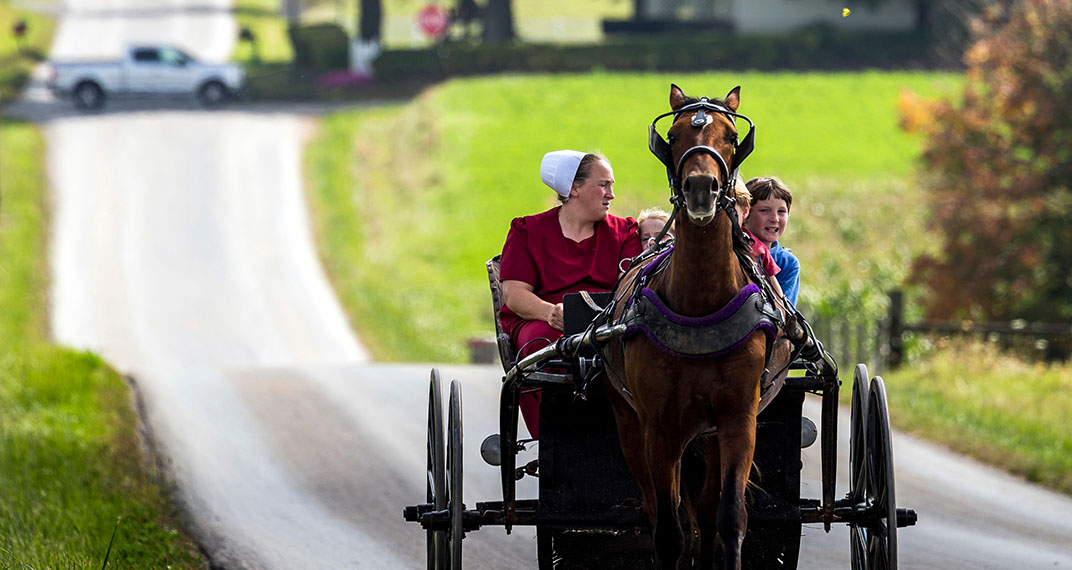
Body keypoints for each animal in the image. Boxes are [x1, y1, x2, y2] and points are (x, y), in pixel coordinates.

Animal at [608, 84, 776, 570]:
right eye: (675, 134)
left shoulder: (738, 419)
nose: (701, 188)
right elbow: (668, 530)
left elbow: (729, 516)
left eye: (731, 135)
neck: (700, 306)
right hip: (630, 424)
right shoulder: (659, 427)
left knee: (703, 508)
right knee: (657, 506)